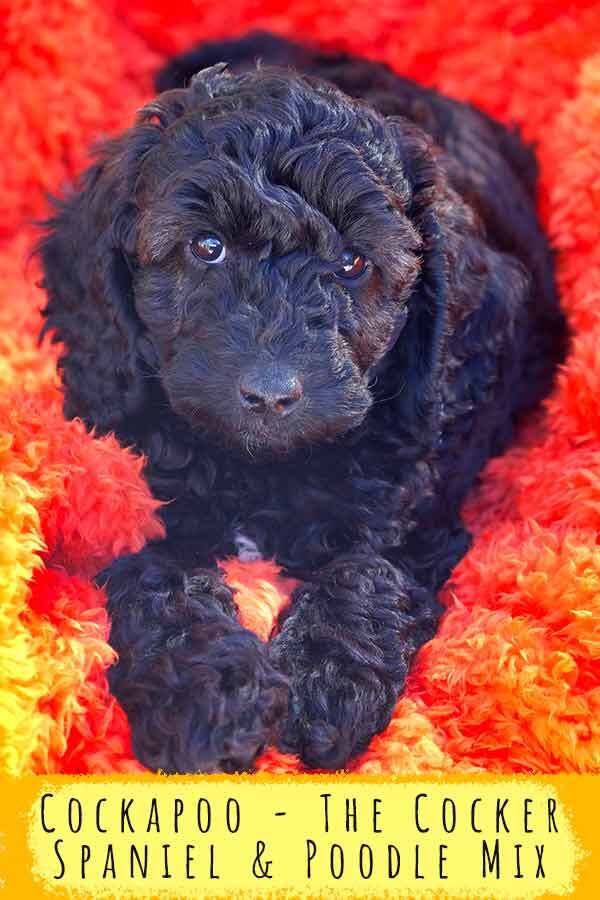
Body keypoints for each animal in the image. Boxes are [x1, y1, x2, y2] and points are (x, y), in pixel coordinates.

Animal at [38, 29, 568, 772]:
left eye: (352, 264)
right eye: (208, 247)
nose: (270, 392)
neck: (262, 469)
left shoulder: (411, 513)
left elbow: (365, 570)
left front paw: (327, 682)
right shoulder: (129, 491)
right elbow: (157, 575)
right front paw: (206, 697)